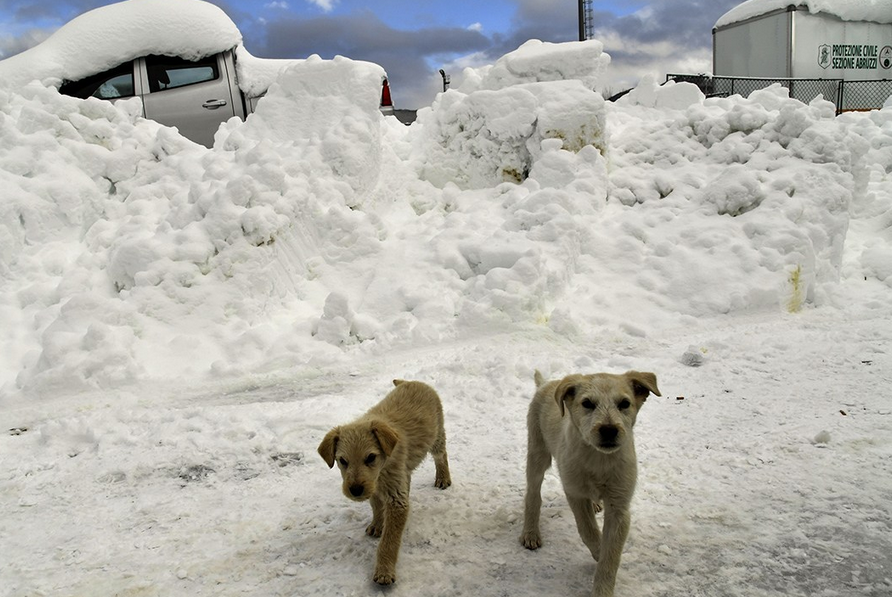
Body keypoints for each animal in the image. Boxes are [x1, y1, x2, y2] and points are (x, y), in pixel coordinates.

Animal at [318, 382, 452, 584]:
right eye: (342, 460)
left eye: (370, 457)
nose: (355, 490)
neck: (382, 471)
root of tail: (410, 381)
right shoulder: (374, 488)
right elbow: (376, 507)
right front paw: (377, 524)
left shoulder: (395, 497)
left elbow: (389, 541)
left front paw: (384, 571)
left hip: (436, 435)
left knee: (441, 455)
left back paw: (443, 477)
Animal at [520, 368, 660, 596]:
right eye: (587, 403)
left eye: (624, 403)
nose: (609, 430)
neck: (599, 459)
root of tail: (547, 384)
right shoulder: (575, 494)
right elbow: (589, 531)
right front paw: (598, 552)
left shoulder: (619, 506)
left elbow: (611, 555)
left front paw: (603, 585)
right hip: (538, 453)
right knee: (533, 494)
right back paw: (531, 532)